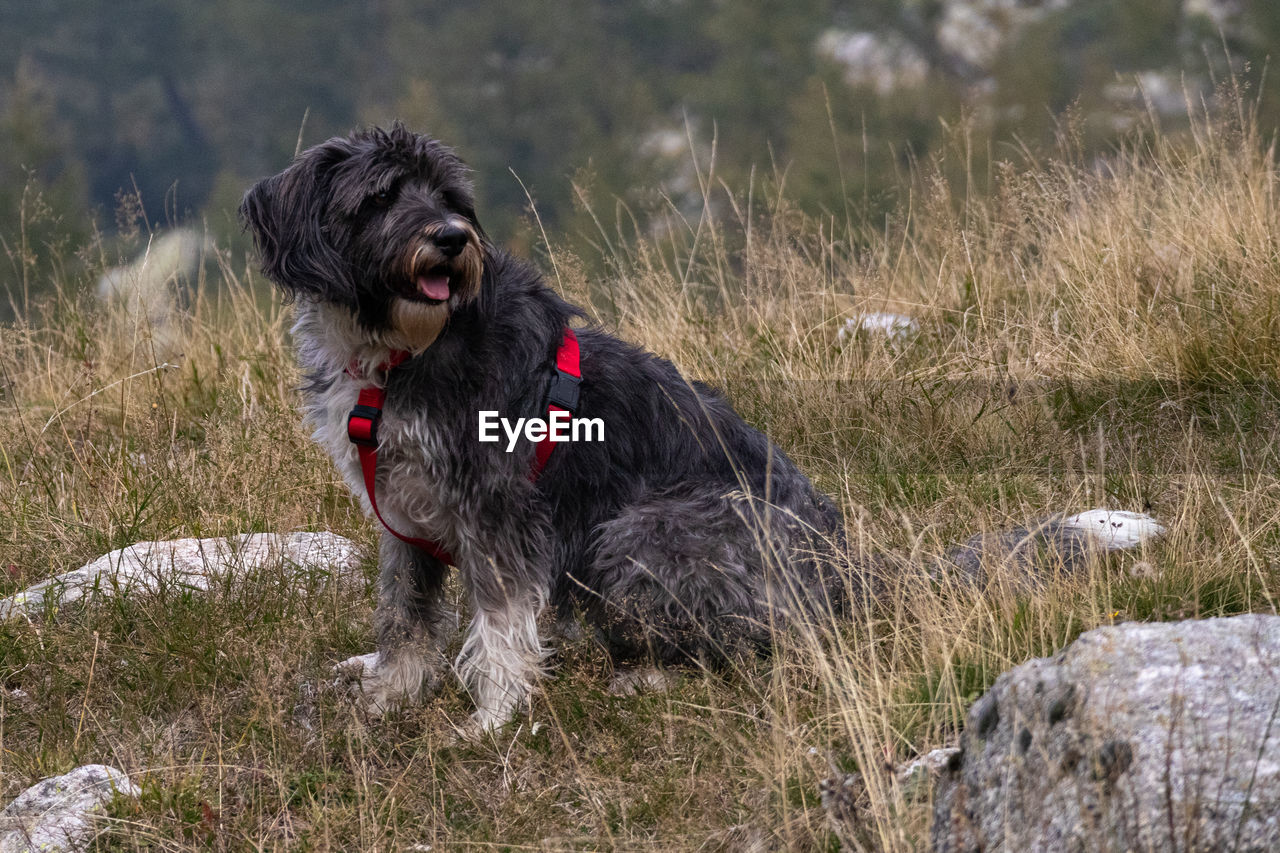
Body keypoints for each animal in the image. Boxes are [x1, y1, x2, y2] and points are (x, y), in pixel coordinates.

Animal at [238, 122, 1162, 727]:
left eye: (449, 196)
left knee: (763, 650)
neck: (397, 350)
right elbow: (402, 614)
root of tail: (850, 567)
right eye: (382, 196)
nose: (451, 238)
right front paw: (391, 692)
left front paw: (492, 717)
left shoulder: (498, 507)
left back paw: (649, 678)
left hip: (638, 536)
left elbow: (499, 624)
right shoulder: (404, 508)